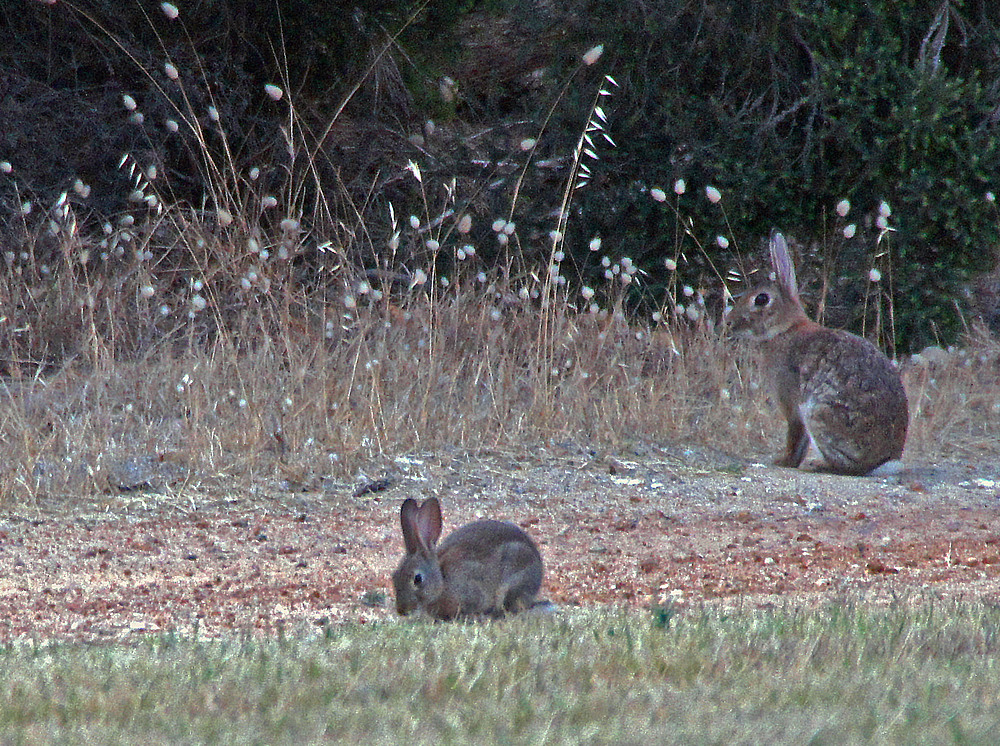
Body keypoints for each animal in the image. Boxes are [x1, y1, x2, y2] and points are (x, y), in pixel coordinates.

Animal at [724, 230, 912, 474]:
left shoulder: (792, 403)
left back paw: (815, 465)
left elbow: (795, 436)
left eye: (762, 299)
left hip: (820, 413)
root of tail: (882, 462)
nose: (729, 322)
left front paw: (783, 462)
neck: (784, 329)